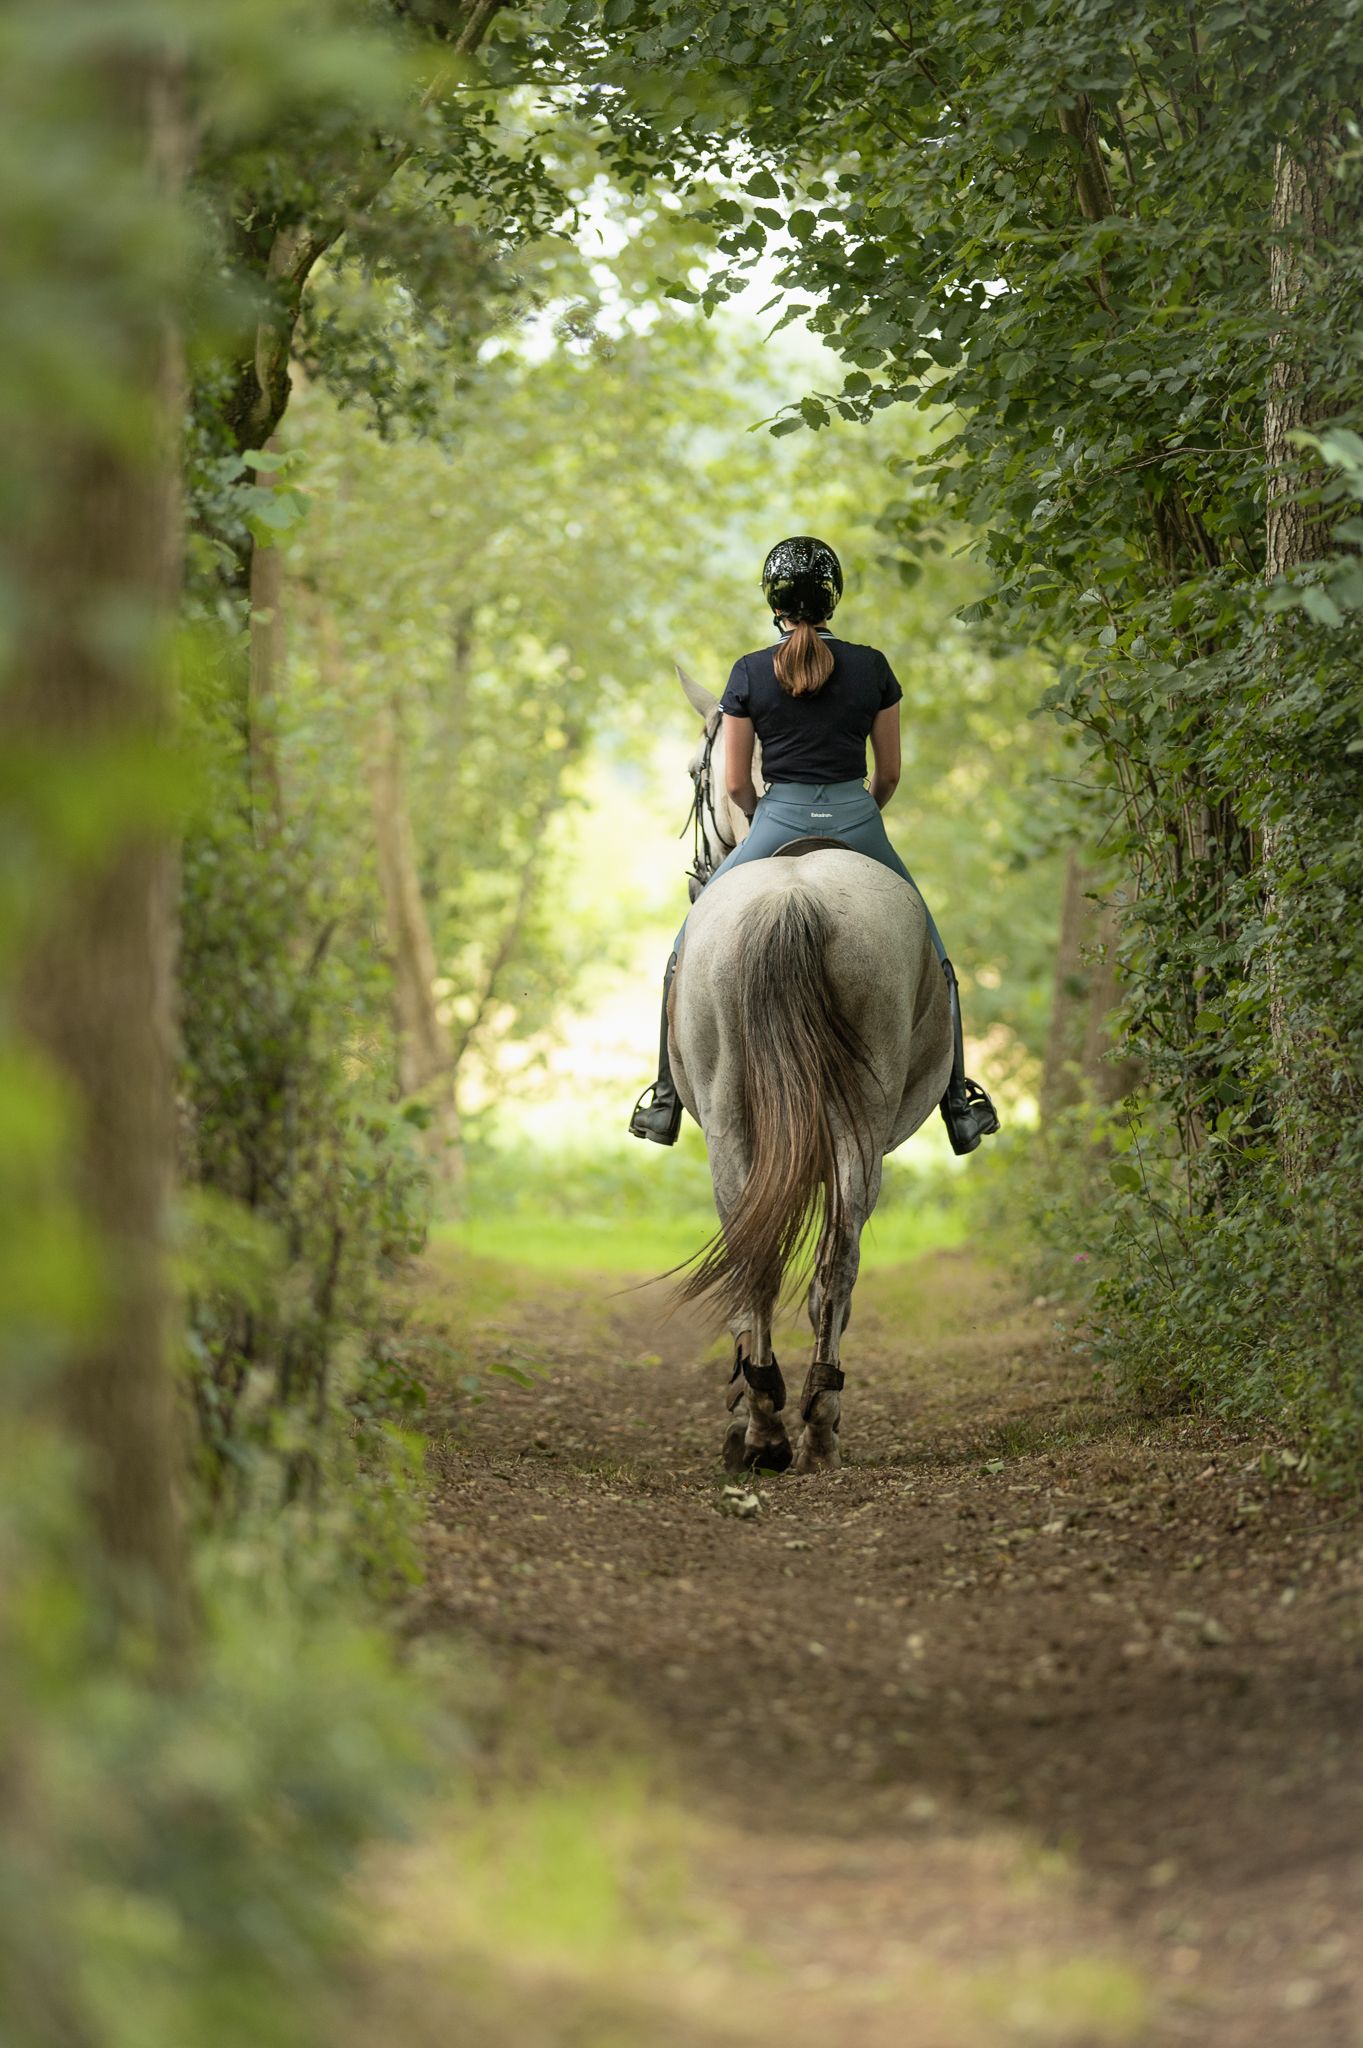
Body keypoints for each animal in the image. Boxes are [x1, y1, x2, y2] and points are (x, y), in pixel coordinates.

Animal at [670, 665, 953, 1475]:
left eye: (696, 773)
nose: (695, 876)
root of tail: (796, 894)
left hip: (735, 1125)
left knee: (765, 1255)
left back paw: (772, 1426)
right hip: (847, 1126)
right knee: (832, 1260)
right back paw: (809, 1420)